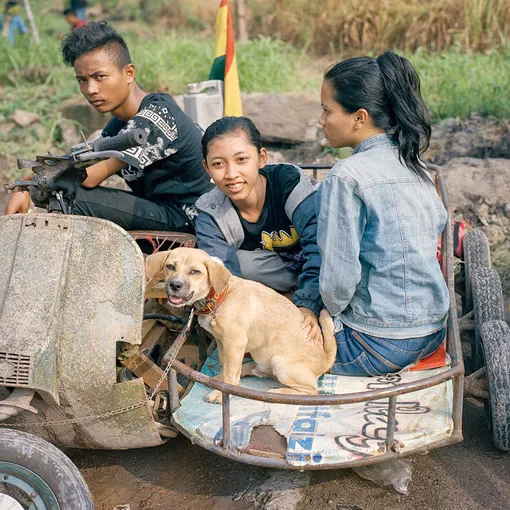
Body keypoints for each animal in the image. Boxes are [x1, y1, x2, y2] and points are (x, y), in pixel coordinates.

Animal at [146, 249, 338, 404]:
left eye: (195, 272)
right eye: (170, 266)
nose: (175, 285)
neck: (221, 296)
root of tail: (325, 358)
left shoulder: (235, 342)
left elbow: (230, 375)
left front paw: (220, 393)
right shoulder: (223, 342)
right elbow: (226, 366)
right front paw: (221, 380)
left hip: (281, 364)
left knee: (310, 391)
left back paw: (278, 392)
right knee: (254, 370)